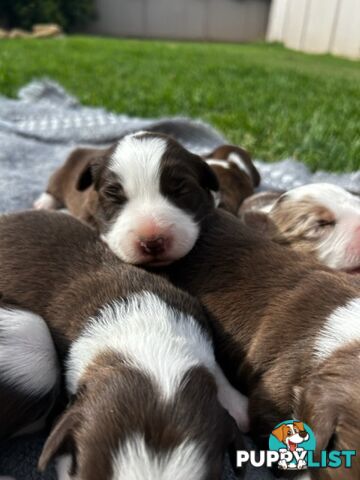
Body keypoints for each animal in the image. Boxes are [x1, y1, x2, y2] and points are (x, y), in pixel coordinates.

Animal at [34, 131, 219, 266]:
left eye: (180, 189)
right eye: (113, 194)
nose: (152, 243)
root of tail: (82, 150)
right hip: (62, 175)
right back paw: (43, 204)